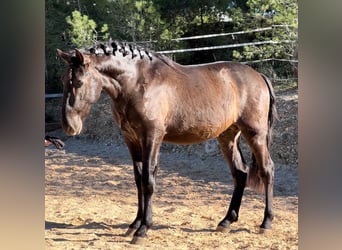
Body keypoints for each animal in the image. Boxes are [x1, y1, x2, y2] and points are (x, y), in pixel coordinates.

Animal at [56, 41, 278, 244]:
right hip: (228, 137)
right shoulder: (131, 139)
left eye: (79, 82)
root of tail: (259, 76)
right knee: (240, 173)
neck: (137, 82)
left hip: (255, 134)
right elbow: (138, 180)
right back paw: (226, 221)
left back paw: (266, 223)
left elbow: (148, 180)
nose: (69, 125)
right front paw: (134, 224)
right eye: (63, 80)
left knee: (267, 170)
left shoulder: (152, 136)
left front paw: (143, 229)